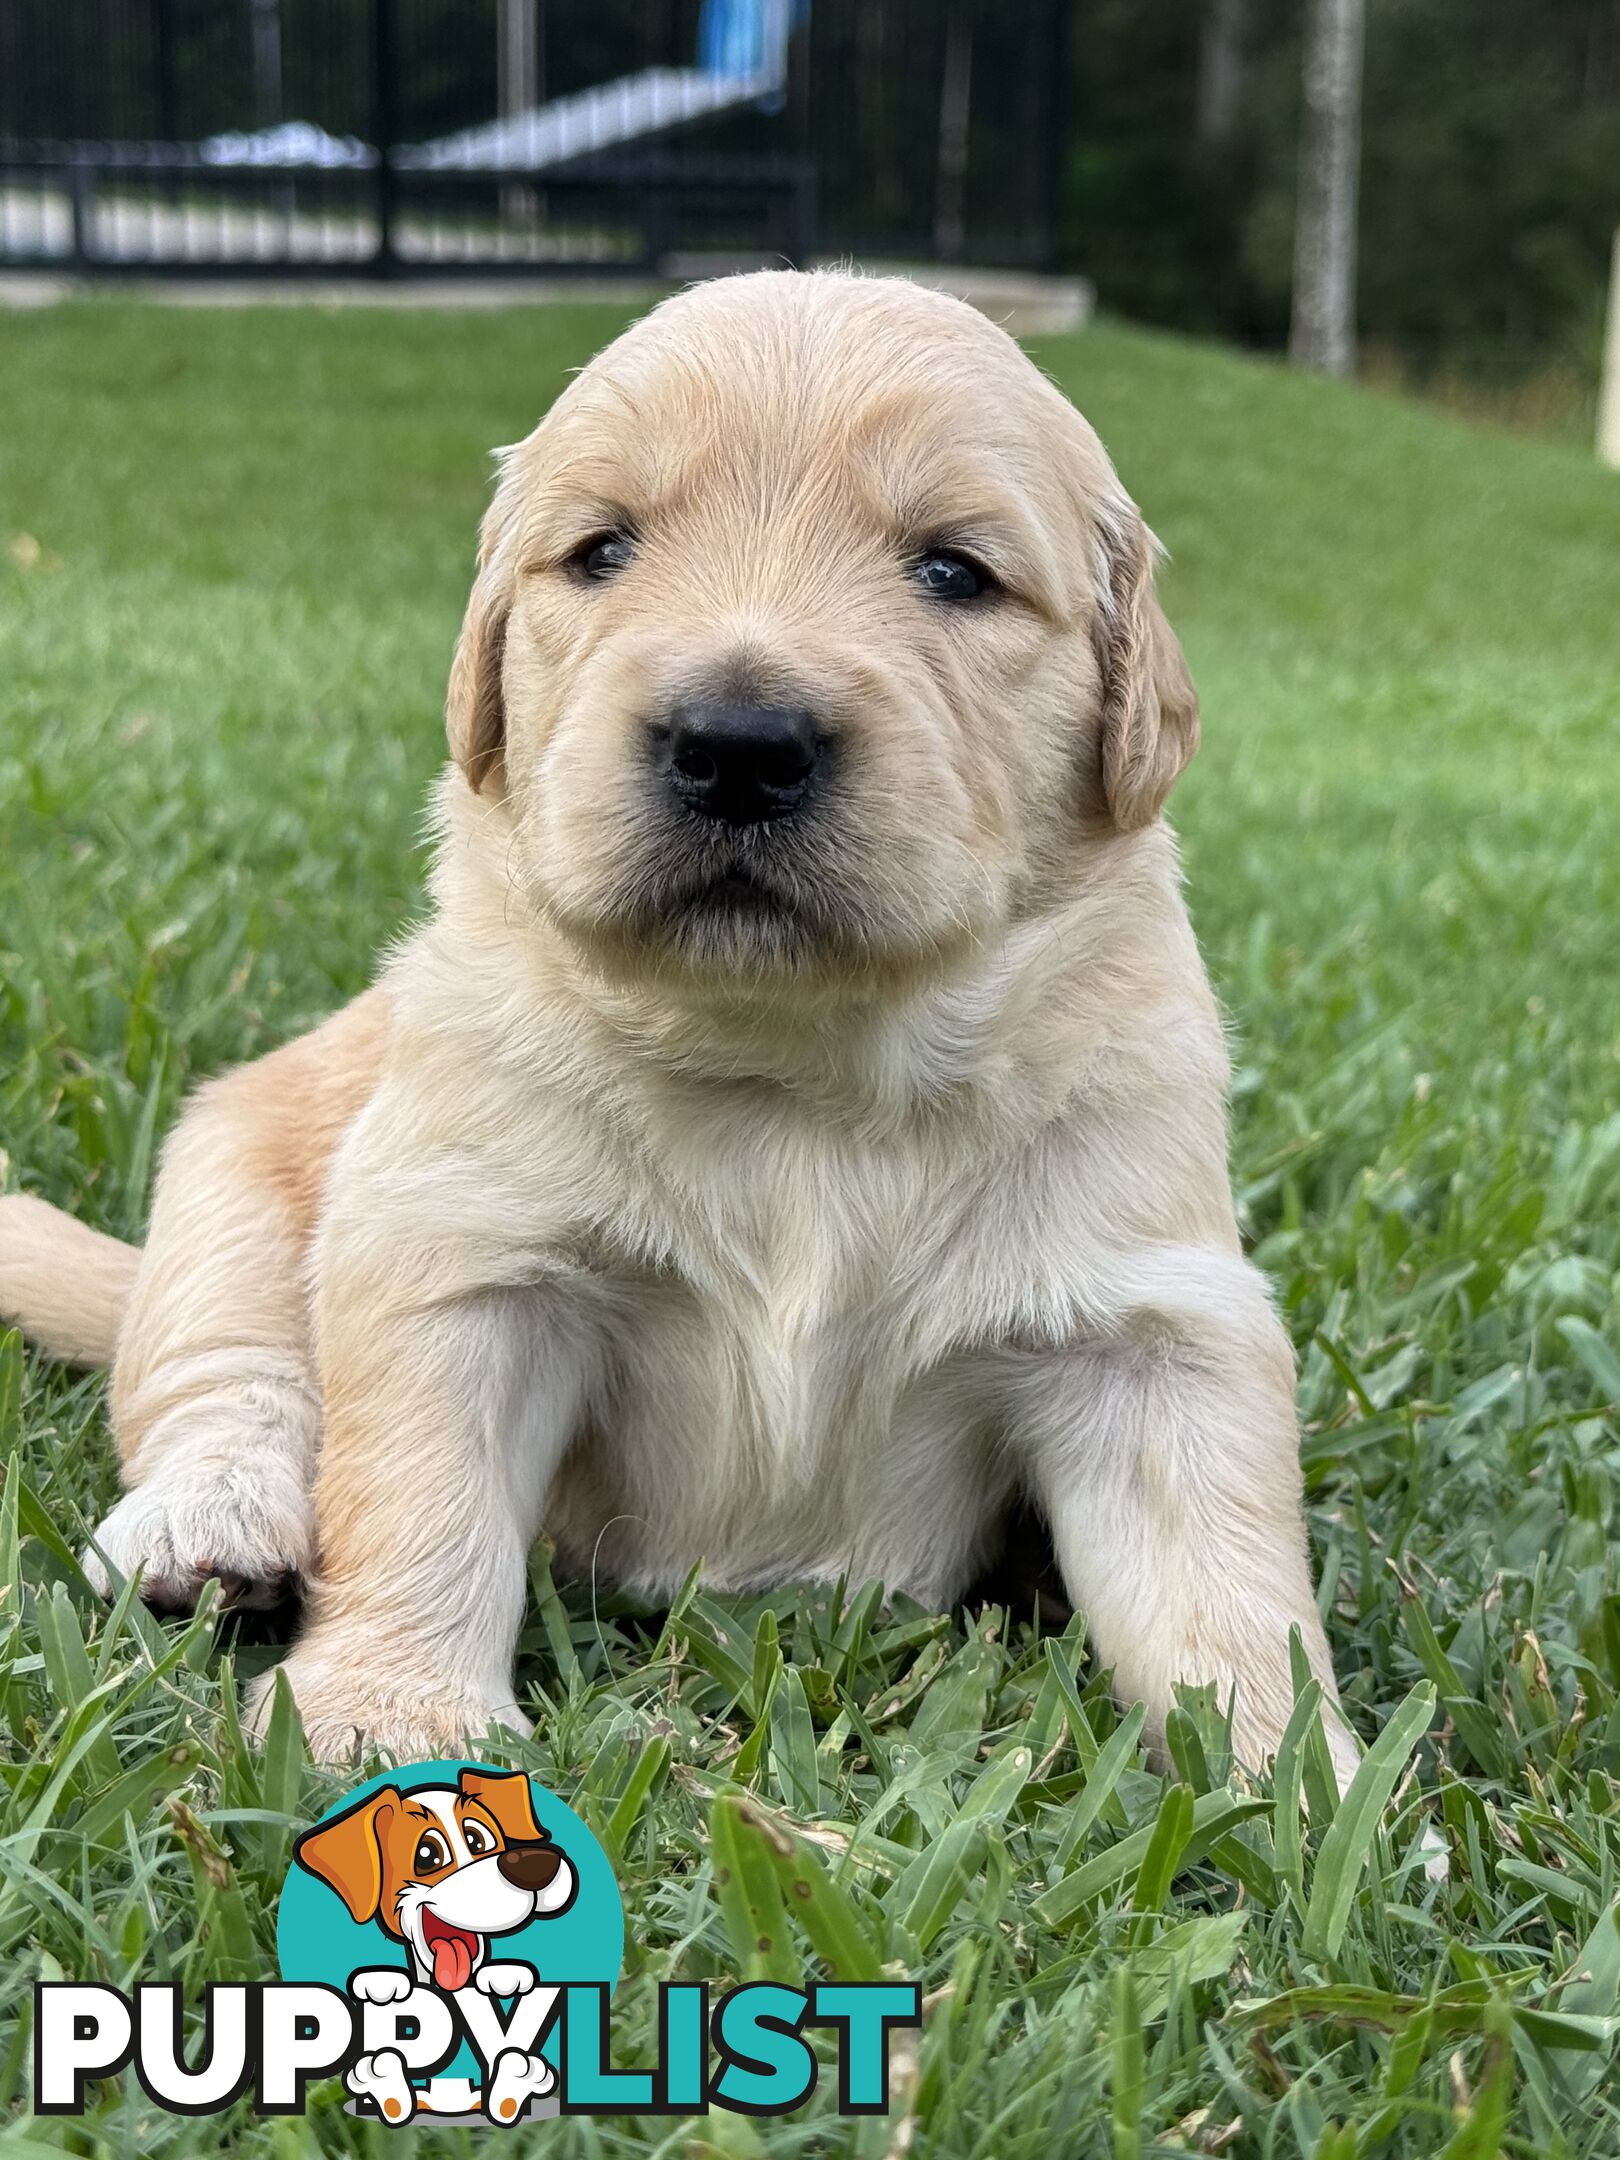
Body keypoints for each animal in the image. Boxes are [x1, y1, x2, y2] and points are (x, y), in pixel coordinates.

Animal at [0, 274, 1356, 1771]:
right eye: (603, 552)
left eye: (954, 571)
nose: (739, 745)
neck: (800, 1068)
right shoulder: (462, 1250)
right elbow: (421, 1491)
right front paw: (389, 1715)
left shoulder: (1152, 1321)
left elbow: (1226, 1587)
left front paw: (1298, 1780)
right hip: (233, 1169)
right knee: (223, 1364)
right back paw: (213, 1522)